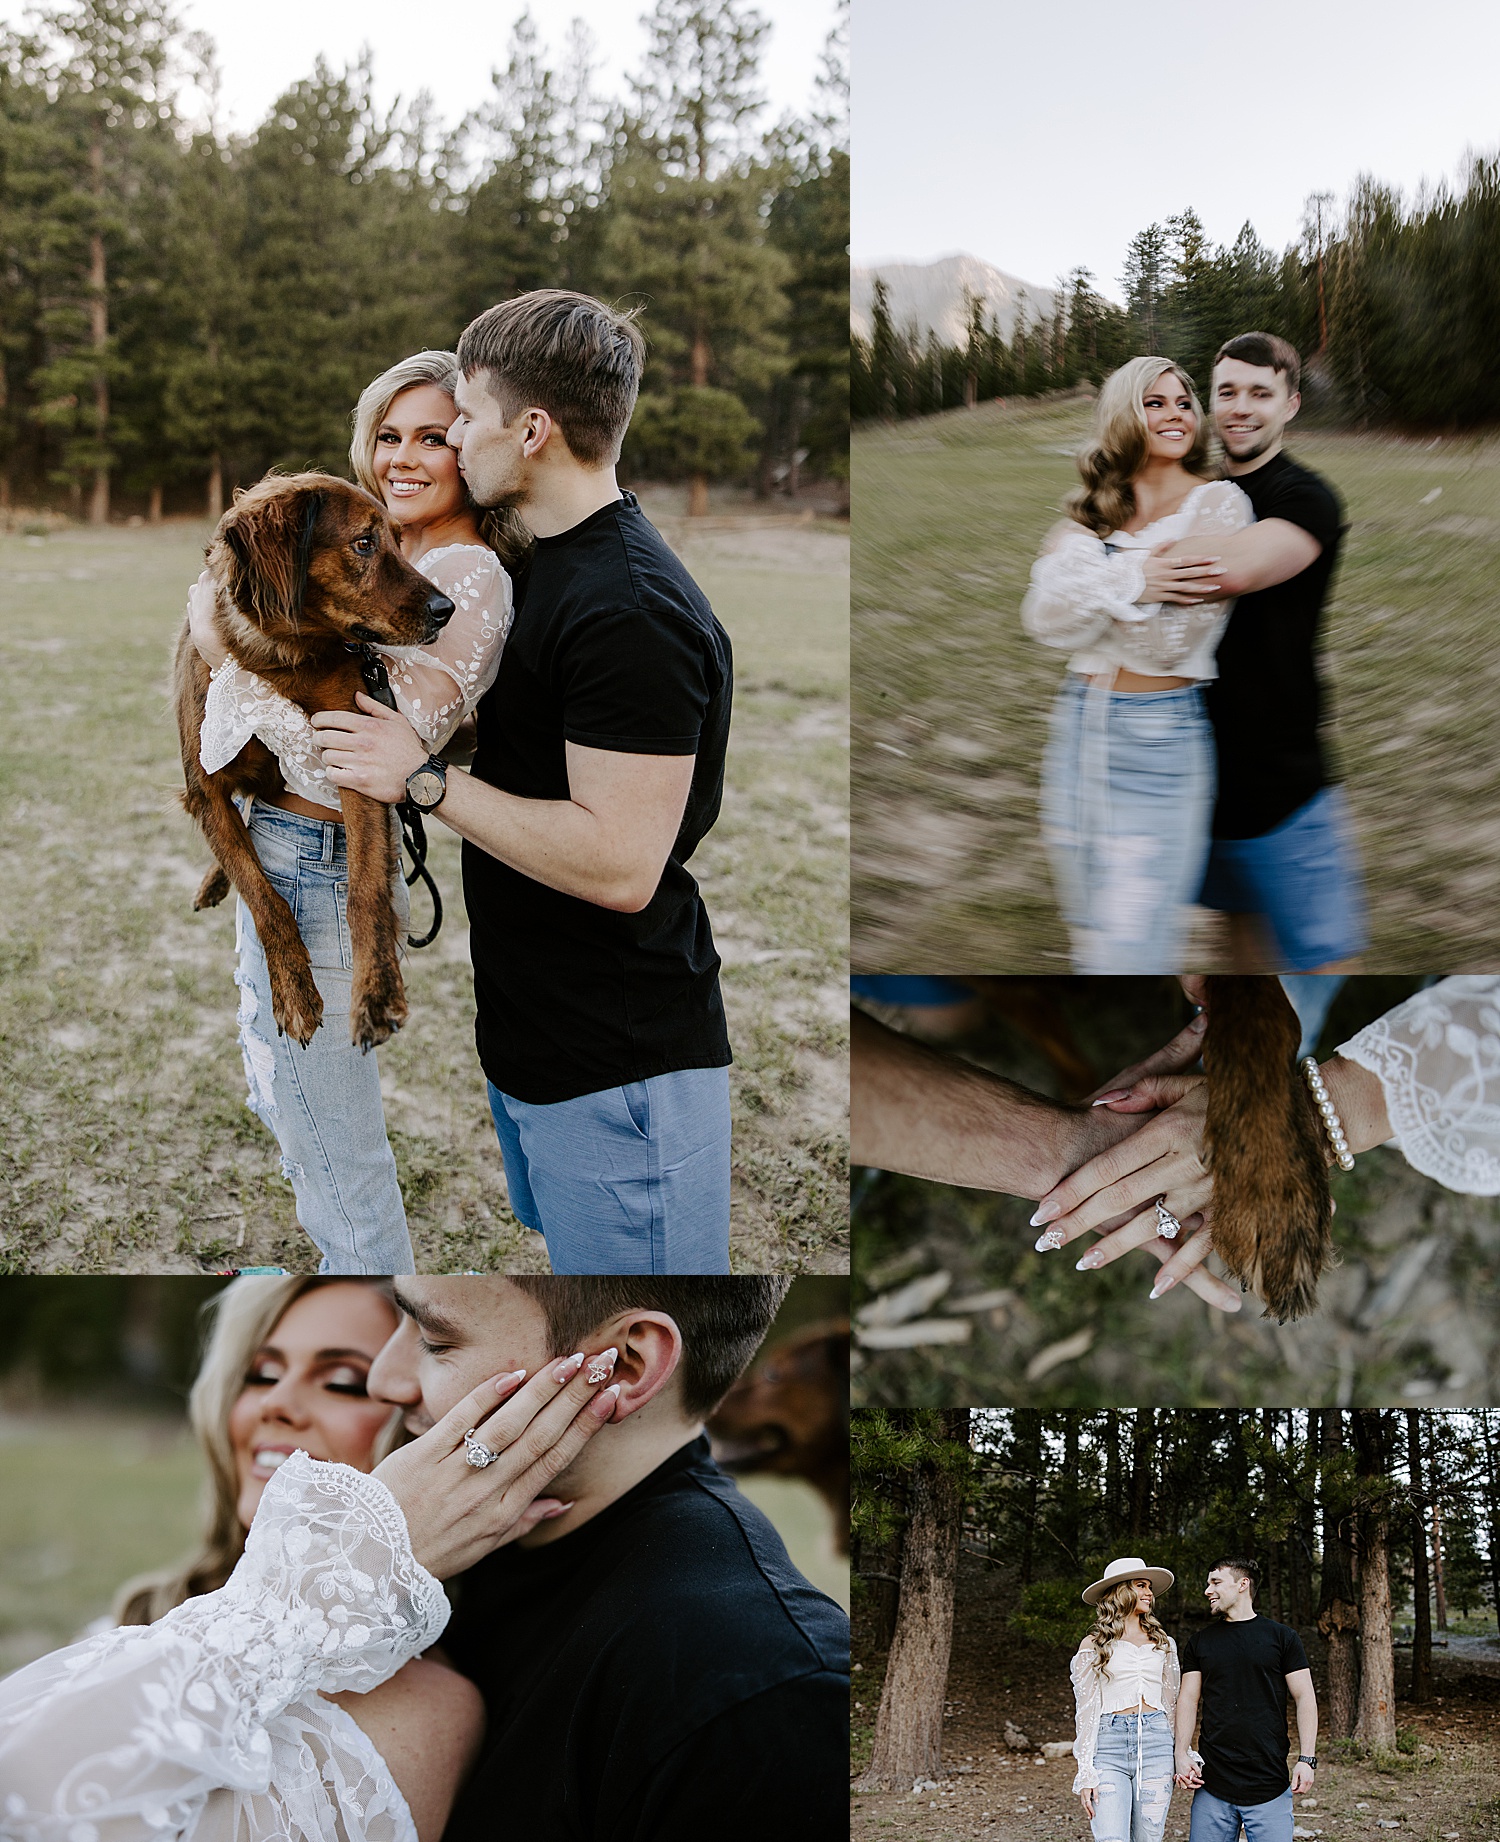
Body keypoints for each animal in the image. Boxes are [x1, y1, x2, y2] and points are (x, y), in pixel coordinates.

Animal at [178, 475, 455, 1053]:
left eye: (399, 540)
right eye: (364, 543)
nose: (449, 609)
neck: (283, 657)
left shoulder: (357, 752)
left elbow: (366, 890)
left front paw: (377, 994)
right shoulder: (204, 787)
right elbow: (265, 898)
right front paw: (294, 994)